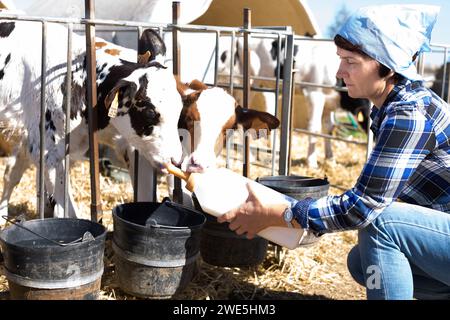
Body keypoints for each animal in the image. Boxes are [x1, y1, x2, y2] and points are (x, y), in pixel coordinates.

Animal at [0, 20, 185, 219]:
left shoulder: (133, 147)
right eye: (150, 112)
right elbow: (68, 211)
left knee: (12, 171)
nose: (176, 160)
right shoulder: (48, 152)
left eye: (179, 109)